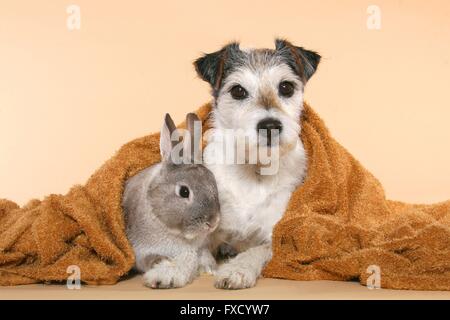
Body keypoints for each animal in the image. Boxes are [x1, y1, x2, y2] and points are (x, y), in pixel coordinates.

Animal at [122, 111, 221, 288]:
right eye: (184, 192)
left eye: (213, 182)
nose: (213, 222)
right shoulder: (139, 251)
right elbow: (148, 260)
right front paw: (163, 262)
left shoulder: (201, 247)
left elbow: (204, 255)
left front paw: (209, 268)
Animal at [193, 38, 320, 288]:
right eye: (238, 90)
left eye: (286, 87)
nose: (270, 126)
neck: (255, 168)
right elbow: (197, 244)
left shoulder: (277, 234)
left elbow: (257, 250)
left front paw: (237, 270)